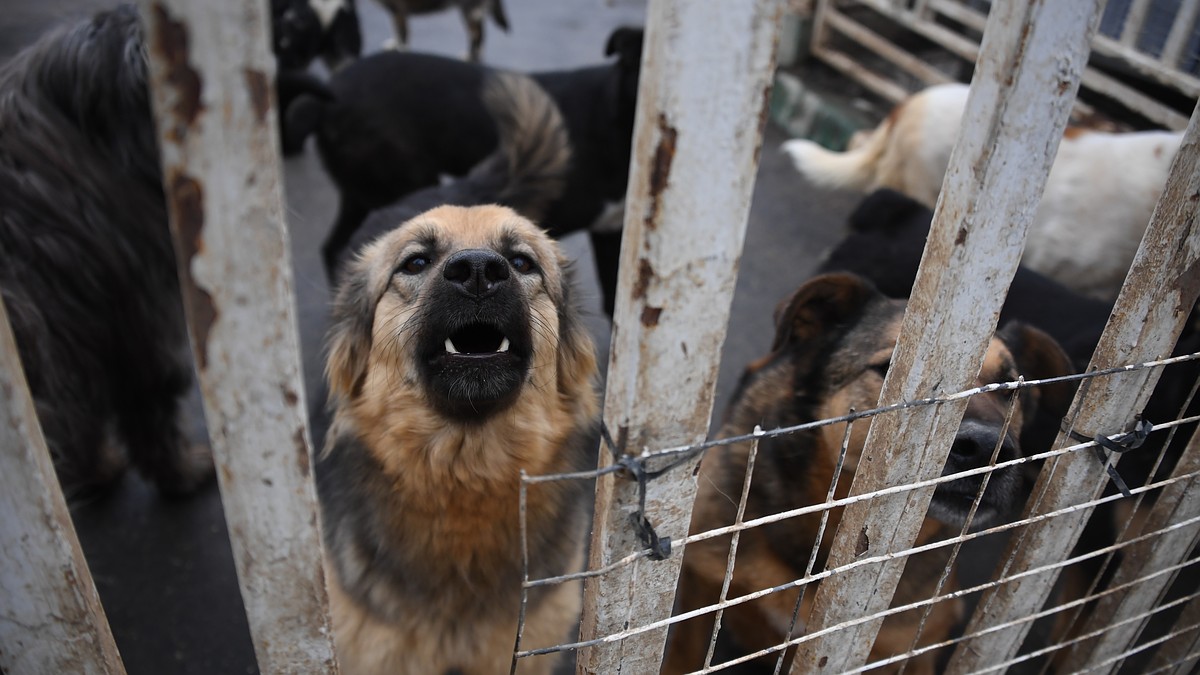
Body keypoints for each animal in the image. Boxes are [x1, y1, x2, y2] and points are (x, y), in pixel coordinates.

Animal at [372, 0, 508, 60]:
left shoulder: (399, 10)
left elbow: (402, 34)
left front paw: (401, 50)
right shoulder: (397, 12)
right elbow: (397, 31)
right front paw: (395, 44)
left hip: (468, 10)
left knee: (476, 34)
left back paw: (471, 55)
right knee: (480, 34)